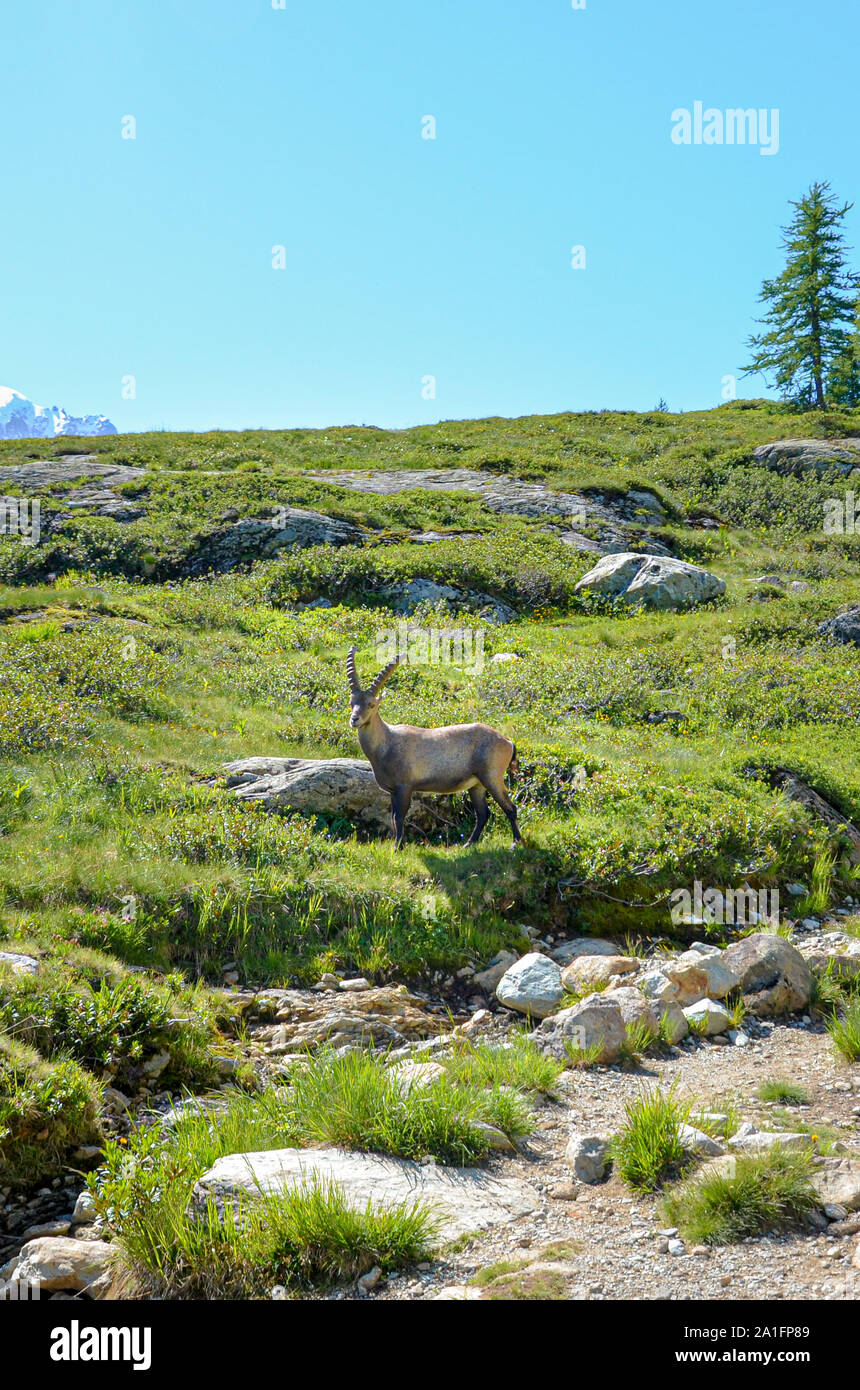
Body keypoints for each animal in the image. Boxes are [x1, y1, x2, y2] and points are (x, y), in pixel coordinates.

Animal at [346, 646, 522, 850]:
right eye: (352, 703)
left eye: (371, 704)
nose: (354, 719)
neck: (387, 742)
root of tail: (507, 742)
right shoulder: (392, 791)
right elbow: (393, 817)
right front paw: (398, 845)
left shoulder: (404, 787)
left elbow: (399, 817)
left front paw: (397, 848)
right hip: (477, 784)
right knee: (483, 813)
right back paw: (469, 843)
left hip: (492, 777)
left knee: (510, 808)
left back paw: (515, 843)